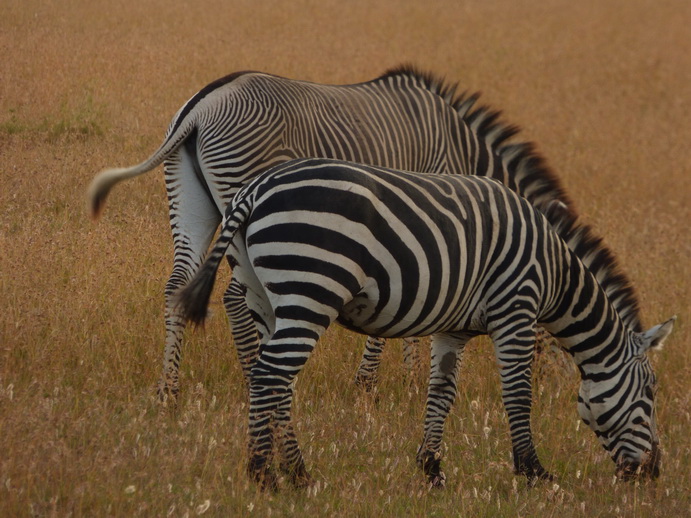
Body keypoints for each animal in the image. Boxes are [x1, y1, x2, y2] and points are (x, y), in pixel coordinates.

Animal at [89, 66, 576, 406]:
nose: (559, 397)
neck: (464, 152)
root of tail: (204, 105)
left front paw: (402, 379)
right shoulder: (421, 220)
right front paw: (380, 386)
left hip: (192, 200)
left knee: (177, 285)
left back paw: (169, 390)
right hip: (244, 200)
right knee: (236, 297)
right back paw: (253, 381)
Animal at [174, 160, 676, 494]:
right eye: (650, 393)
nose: (652, 474)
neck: (554, 273)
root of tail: (254, 190)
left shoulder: (453, 328)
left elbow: (441, 393)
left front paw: (431, 468)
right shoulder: (516, 308)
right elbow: (517, 393)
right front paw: (534, 472)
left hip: (266, 295)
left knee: (277, 379)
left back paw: (296, 474)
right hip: (310, 287)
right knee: (272, 374)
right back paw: (265, 475)